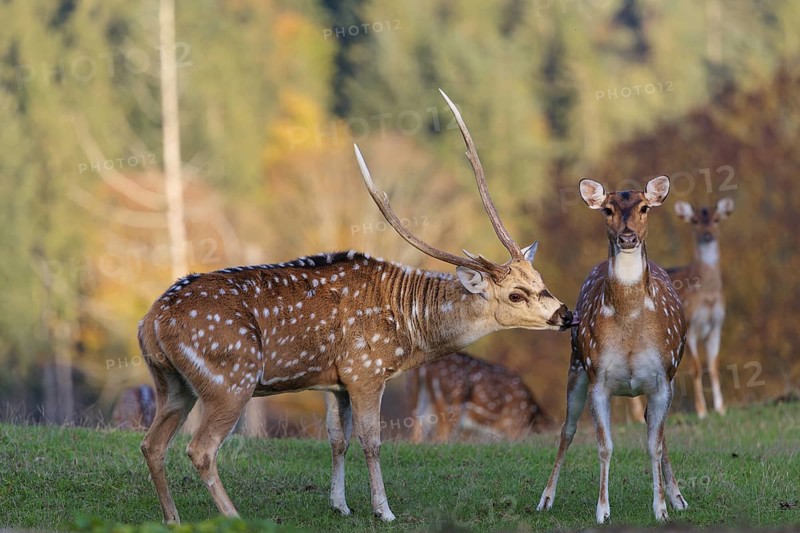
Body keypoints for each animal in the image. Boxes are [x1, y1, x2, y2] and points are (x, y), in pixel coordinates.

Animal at [536, 176, 689, 524]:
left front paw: (662, 509)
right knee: (567, 429)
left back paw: (679, 497)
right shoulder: (598, 378)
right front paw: (603, 512)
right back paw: (545, 498)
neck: (630, 323)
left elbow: (654, 444)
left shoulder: (662, 379)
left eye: (644, 208)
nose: (628, 236)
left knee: (658, 433)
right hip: (575, 366)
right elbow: (604, 446)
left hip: (671, 378)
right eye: (607, 209)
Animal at [629, 198, 735, 421]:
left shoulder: (716, 325)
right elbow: (696, 368)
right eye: (695, 220)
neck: (707, 296)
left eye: (716, 219)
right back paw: (638, 417)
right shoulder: (690, 324)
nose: (707, 234)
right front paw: (701, 411)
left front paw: (721, 408)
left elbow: (713, 366)